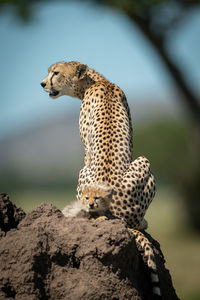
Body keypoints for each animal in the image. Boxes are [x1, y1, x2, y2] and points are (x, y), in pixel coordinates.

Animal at [40, 61, 156, 230]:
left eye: (56, 73)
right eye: (50, 72)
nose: (42, 84)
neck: (97, 81)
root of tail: (116, 212)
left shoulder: (87, 149)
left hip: (140, 161)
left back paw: (141, 222)